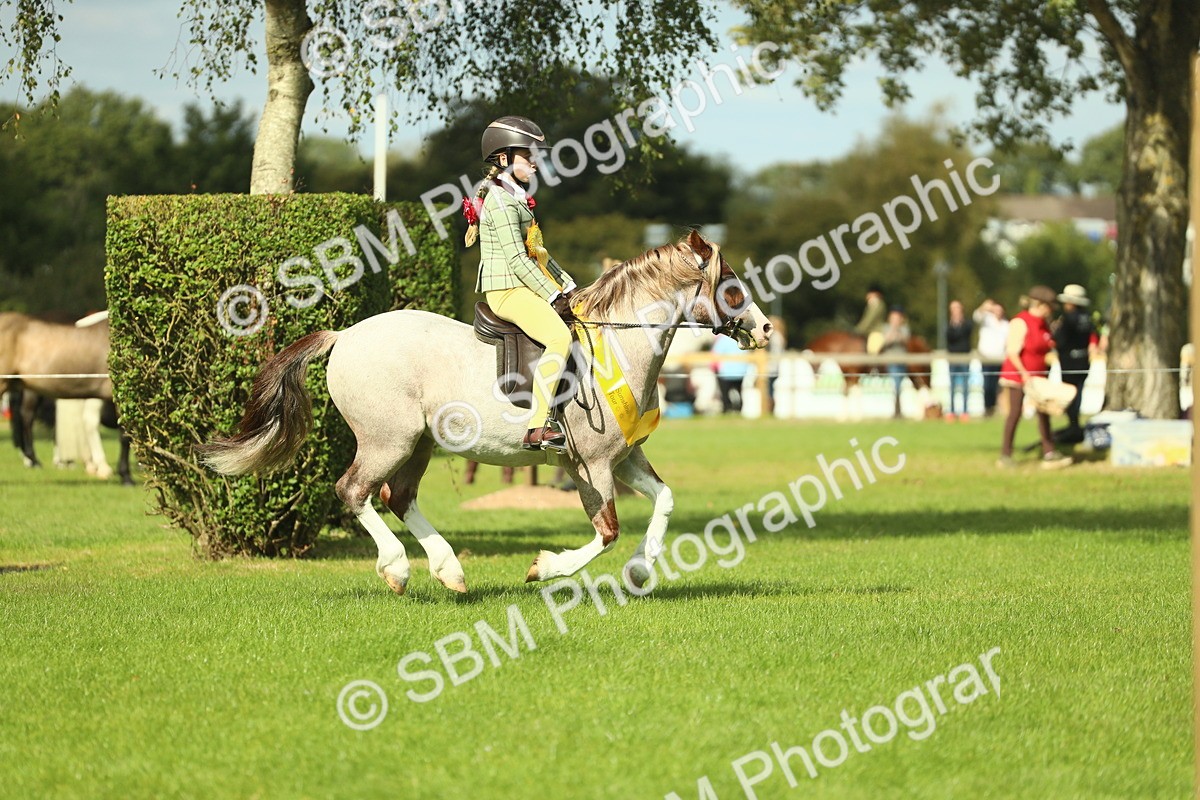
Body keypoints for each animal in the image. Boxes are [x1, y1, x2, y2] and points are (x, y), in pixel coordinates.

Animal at [201, 231, 771, 595]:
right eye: (731, 284)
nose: (764, 330)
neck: (616, 345)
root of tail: (345, 336)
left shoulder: (625, 459)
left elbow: (664, 501)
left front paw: (640, 570)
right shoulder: (590, 466)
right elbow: (605, 531)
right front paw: (545, 568)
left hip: (420, 444)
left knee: (398, 496)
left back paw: (450, 572)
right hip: (389, 440)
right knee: (355, 491)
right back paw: (399, 570)